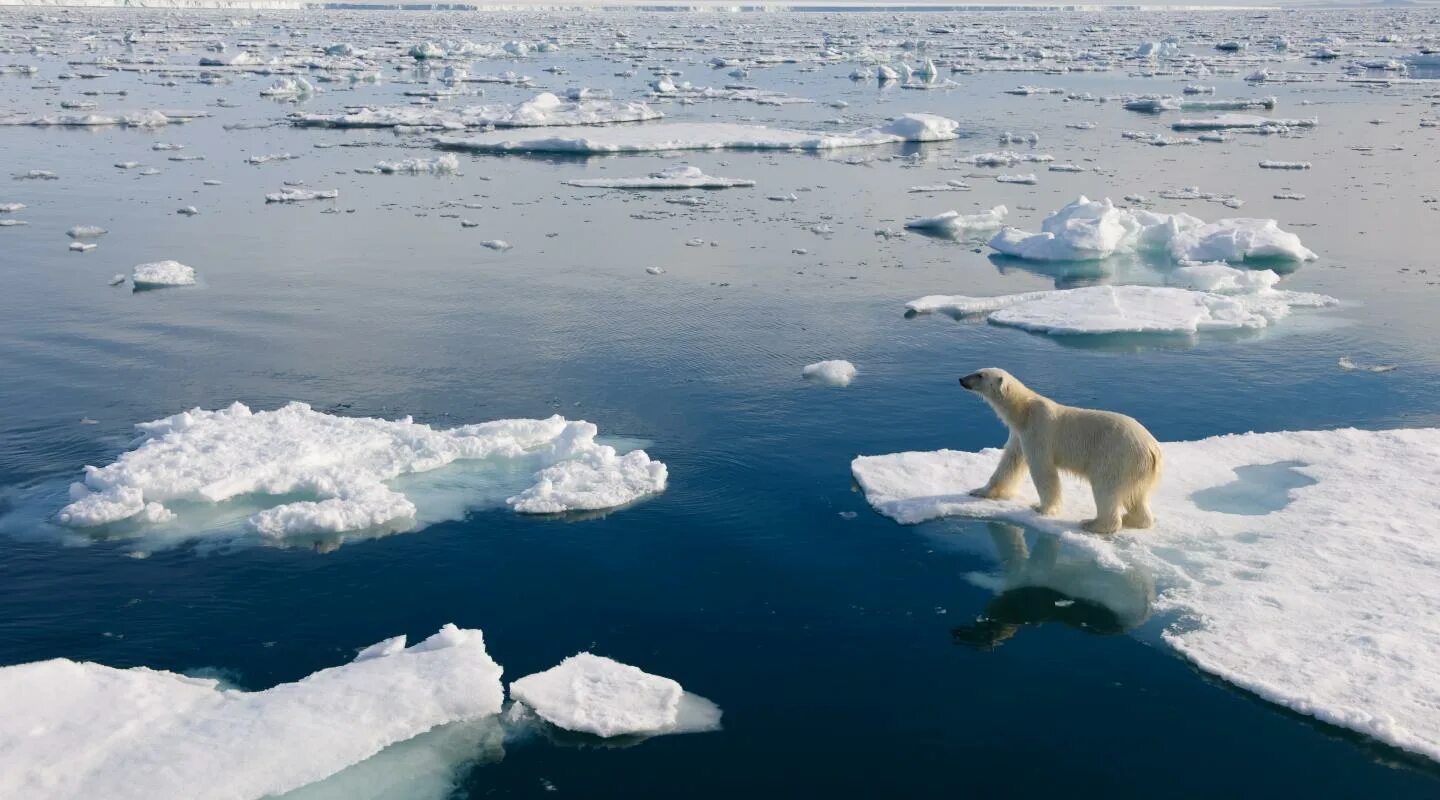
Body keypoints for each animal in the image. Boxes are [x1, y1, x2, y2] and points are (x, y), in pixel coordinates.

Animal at [961, 371, 1163, 535]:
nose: (961, 379)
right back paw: (1133, 519)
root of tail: (1153, 449)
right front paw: (979, 491)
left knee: (1106, 487)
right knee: (1136, 495)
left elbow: (1043, 470)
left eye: (980, 375)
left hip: (1118, 456)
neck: (1024, 411)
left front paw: (1041, 508)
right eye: (977, 370)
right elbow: (1009, 462)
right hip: (1137, 468)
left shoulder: (1038, 430)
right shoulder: (1019, 434)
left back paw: (1093, 523)